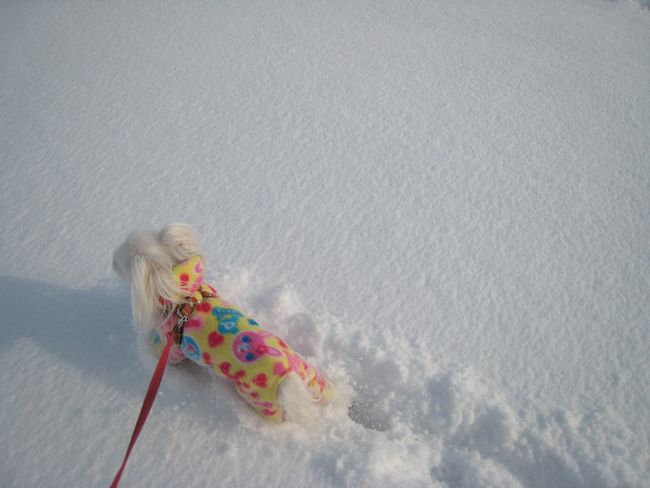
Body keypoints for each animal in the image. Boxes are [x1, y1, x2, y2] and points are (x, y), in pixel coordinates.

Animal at [112, 223, 333, 422]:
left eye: (121, 260)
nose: (111, 259)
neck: (184, 297)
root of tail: (289, 375)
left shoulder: (172, 346)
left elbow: (163, 354)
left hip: (257, 396)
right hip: (309, 372)